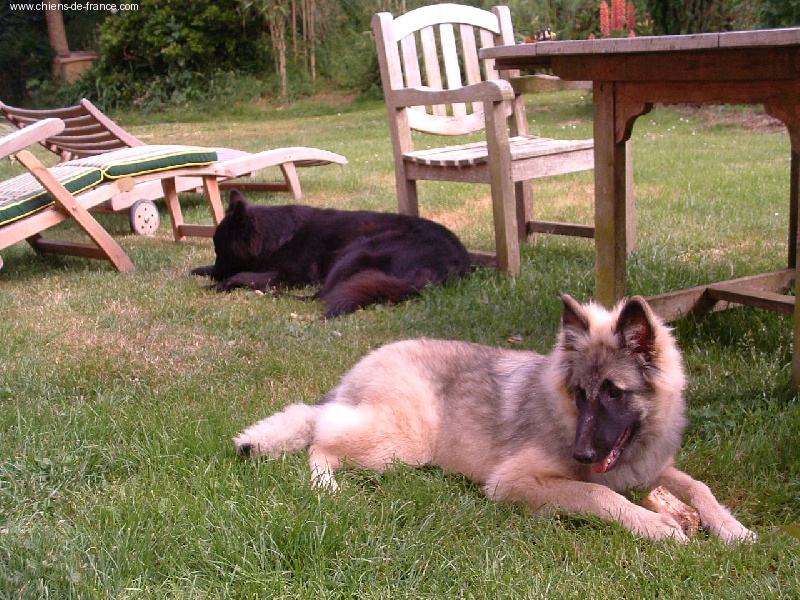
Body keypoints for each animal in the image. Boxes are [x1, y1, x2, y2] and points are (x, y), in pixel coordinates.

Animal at [191, 191, 472, 318]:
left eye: (220, 250)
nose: (215, 276)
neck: (276, 238)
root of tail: (448, 264)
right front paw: (200, 270)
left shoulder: (289, 275)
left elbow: (243, 275)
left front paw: (219, 285)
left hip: (355, 251)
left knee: (318, 297)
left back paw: (271, 294)